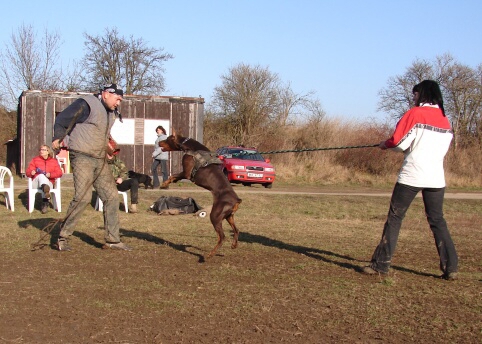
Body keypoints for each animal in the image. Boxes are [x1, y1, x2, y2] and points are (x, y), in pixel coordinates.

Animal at [158, 130, 241, 260]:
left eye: (167, 139)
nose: (158, 142)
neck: (187, 145)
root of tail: (236, 200)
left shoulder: (186, 173)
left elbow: (173, 175)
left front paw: (164, 184)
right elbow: (174, 177)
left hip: (215, 215)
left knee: (222, 237)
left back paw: (210, 254)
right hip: (229, 216)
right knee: (236, 230)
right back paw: (233, 245)